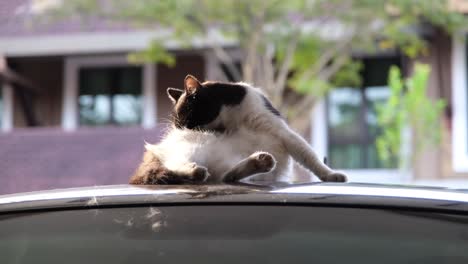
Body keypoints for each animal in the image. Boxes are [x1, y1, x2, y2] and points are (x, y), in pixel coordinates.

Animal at [130, 75, 346, 185]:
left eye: (185, 121)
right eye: (178, 125)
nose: (181, 131)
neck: (231, 121)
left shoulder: (283, 133)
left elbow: (310, 157)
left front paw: (330, 175)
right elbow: (310, 156)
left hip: (223, 160)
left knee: (227, 175)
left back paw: (260, 162)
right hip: (191, 150)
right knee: (177, 165)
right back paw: (195, 171)